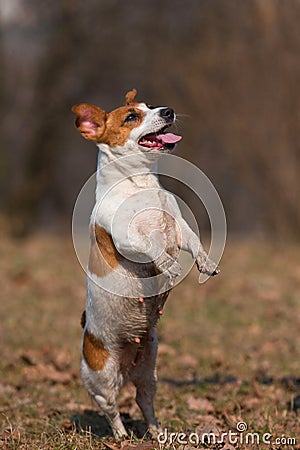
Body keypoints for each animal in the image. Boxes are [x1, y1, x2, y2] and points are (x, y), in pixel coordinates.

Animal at [71, 89, 219, 438]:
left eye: (150, 106)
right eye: (131, 117)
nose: (169, 110)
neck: (140, 185)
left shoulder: (179, 227)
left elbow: (194, 242)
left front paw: (205, 263)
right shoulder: (127, 238)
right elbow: (150, 245)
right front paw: (168, 265)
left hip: (149, 371)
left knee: (144, 401)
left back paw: (157, 432)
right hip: (101, 378)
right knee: (111, 409)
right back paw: (122, 436)